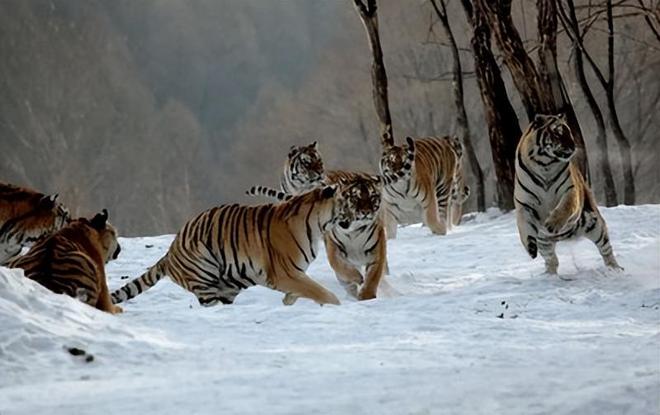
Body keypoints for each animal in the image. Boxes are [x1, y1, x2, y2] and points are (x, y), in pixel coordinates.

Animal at [112, 187, 366, 308]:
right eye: (347, 203)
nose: (360, 215)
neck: (318, 224)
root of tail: (169, 252)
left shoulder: (292, 276)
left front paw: (288, 301)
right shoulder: (285, 273)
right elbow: (321, 291)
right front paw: (336, 305)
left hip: (229, 284)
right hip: (204, 275)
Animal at [245, 141, 416, 300]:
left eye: (320, 161)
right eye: (307, 163)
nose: (366, 212)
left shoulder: (376, 249)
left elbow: (373, 276)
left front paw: (367, 295)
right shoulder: (333, 247)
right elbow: (341, 267)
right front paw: (356, 279)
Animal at [512, 114, 620, 276]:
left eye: (569, 132)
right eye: (558, 133)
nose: (573, 146)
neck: (545, 165)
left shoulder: (570, 191)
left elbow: (564, 208)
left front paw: (551, 224)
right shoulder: (524, 204)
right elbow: (523, 225)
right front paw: (529, 246)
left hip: (595, 225)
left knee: (606, 250)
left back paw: (615, 270)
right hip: (544, 242)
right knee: (552, 260)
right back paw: (549, 276)